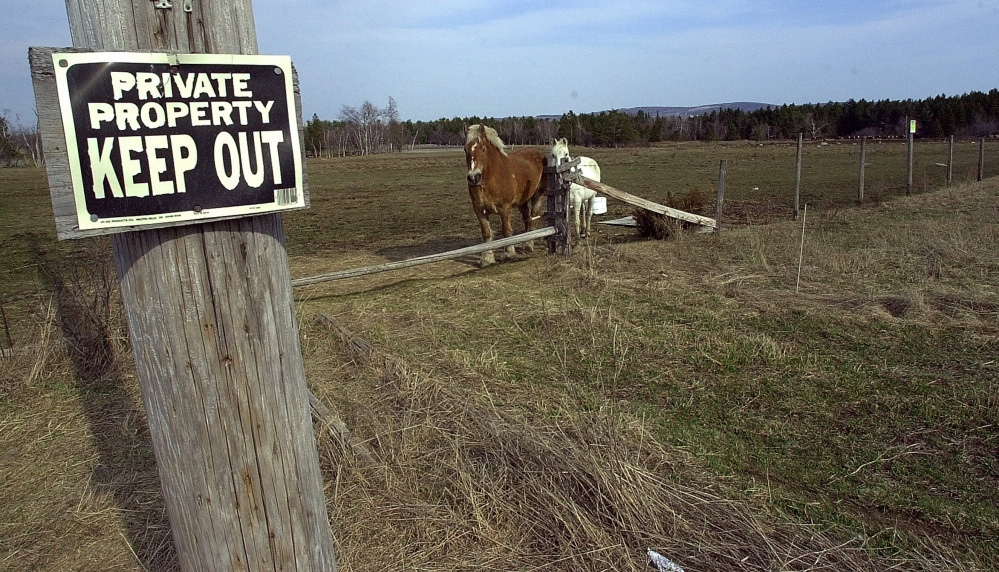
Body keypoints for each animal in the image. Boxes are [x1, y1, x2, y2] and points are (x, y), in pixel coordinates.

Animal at [462, 124, 548, 268]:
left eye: (483, 149)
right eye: (465, 149)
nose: (474, 177)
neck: (492, 177)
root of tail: (539, 154)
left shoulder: (505, 209)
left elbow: (506, 231)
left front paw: (509, 254)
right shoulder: (479, 210)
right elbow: (486, 233)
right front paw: (486, 259)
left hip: (537, 196)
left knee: (534, 217)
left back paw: (529, 245)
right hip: (522, 202)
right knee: (527, 218)